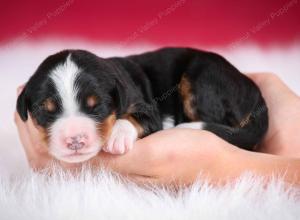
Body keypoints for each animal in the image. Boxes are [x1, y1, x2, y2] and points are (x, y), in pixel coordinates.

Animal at [16, 47, 268, 163]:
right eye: (45, 111)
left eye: (97, 106)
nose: (75, 140)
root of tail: (258, 97)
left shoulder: (149, 110)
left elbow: (132, 117)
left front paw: (117, 136)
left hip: (203, 76)